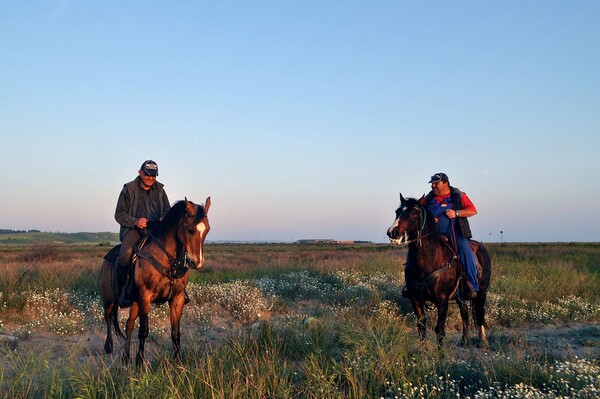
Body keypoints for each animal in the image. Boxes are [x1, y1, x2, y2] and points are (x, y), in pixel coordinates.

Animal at [99, 197, 211, 366]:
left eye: (207, 230)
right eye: (190, 230)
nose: (196, 263)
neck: (168, 261)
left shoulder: (177, 298)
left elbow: (175, 333)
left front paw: (178, 363)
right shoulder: (145, 297)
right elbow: (143, 331)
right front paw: (139, 364)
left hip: (135, 302)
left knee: (129, 325)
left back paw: (125, 357)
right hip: (109, 299)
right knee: (109, 317)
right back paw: (108, 346)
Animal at [386, 194, 490, 346]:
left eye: (414, 212)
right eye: (397, 211)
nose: (392, 232)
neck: (427, 260)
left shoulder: (442, 299)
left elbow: (440, 330)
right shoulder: (415, 298)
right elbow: (421, 328)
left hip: (481, 291)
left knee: (480, 312)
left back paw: (483, 341)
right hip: (460, 296)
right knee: (465, 312)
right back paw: (464, 340)